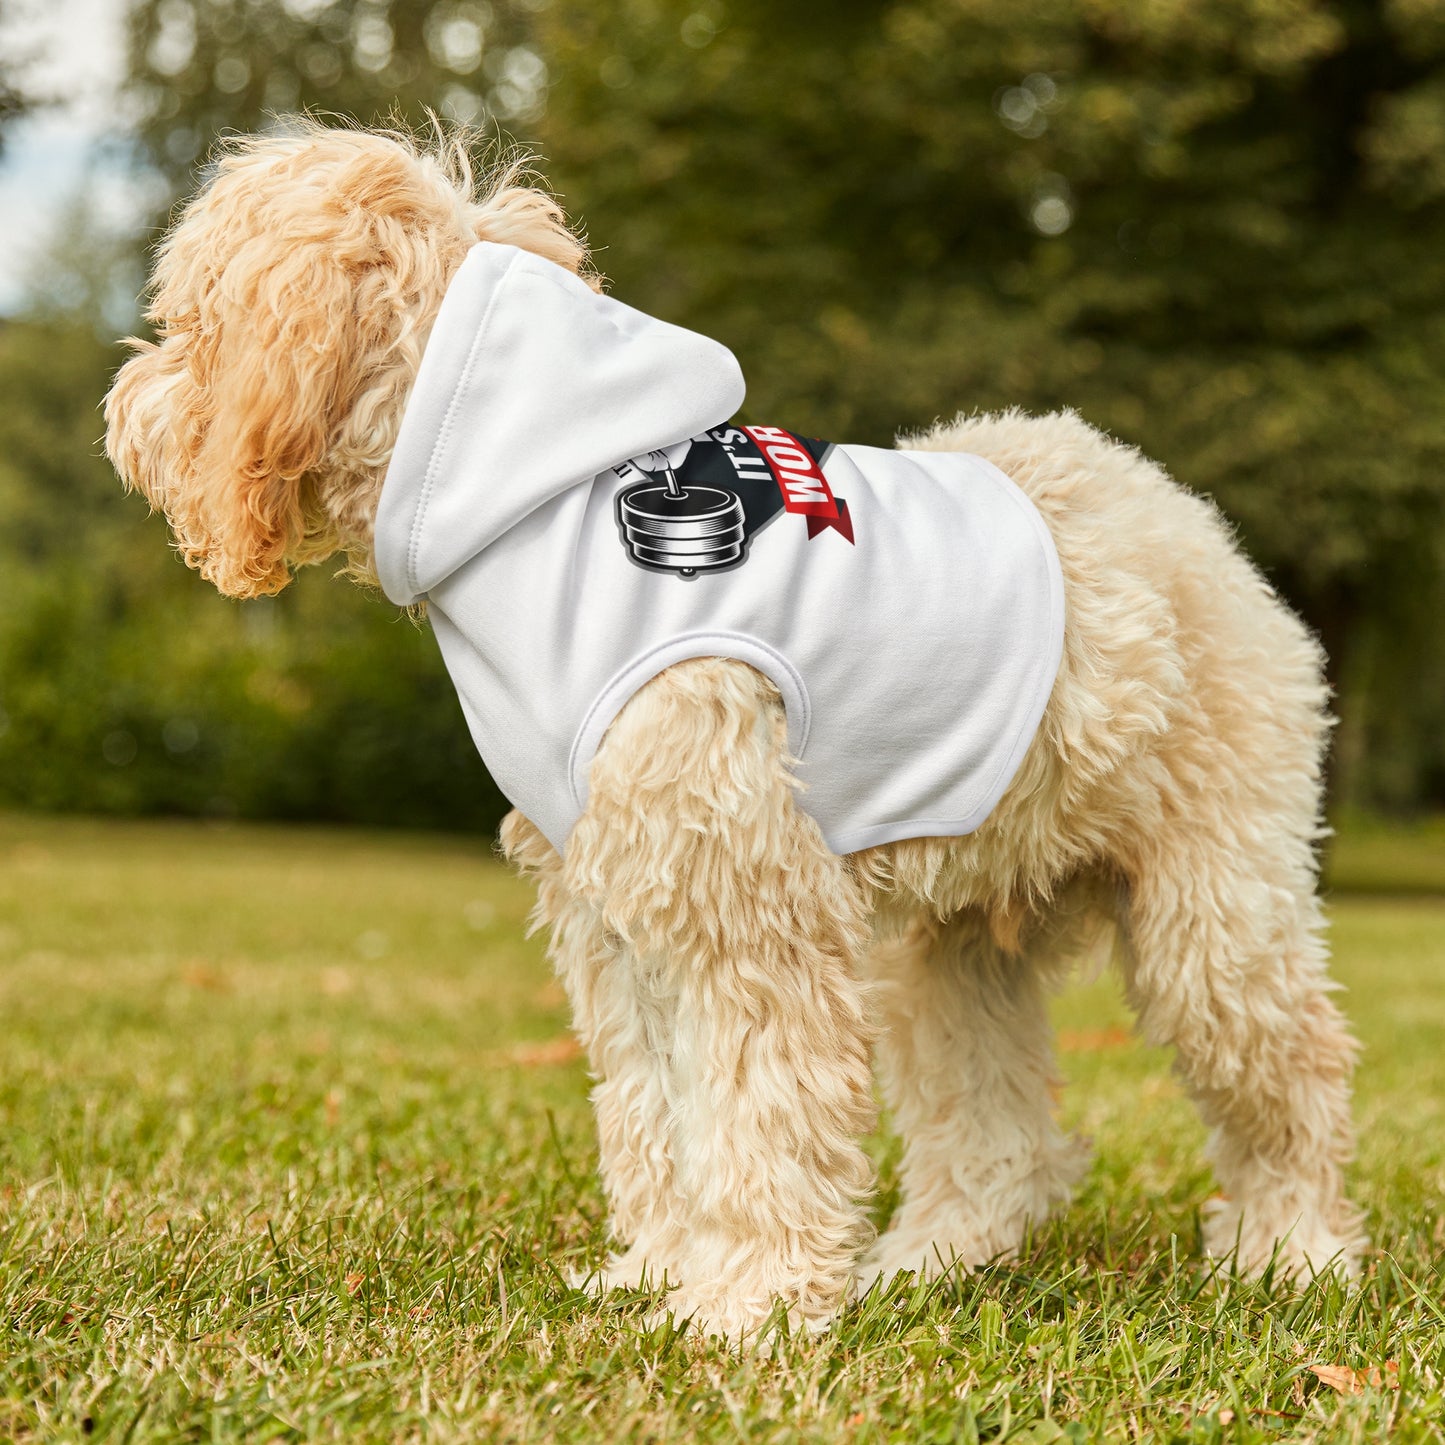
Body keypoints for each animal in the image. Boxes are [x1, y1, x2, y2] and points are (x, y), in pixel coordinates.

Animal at [104, 124, 1364, 1340]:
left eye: (190, 319)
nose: (124, 406)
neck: (530, 502)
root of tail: (1186, 519)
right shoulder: (618, 911)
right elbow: (655, 1110)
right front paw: (662, 1272)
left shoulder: (744, 906)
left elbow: (759, 1110)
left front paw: (747, 1305)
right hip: (950, 946)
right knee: (995, 1131)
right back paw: (929, 1260)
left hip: (1211, 912)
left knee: (1292, 1072)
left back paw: (1290, 1251)